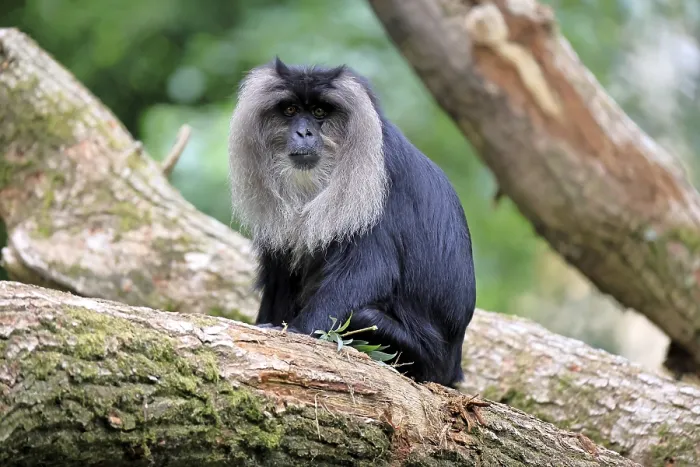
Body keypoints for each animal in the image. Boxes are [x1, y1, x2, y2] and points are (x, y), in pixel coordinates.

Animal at [227, 58, 476, 388]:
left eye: (320, 112)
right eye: (290, 110)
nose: (303, 133)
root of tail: (452, 369)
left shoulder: (378, 181)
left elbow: (368, 272)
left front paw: (291, 332)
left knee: (363, 317)